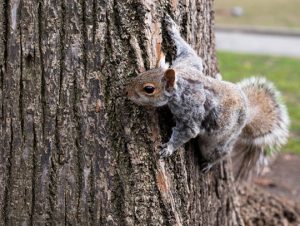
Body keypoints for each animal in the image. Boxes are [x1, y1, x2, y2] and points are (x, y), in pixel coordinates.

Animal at [125, 15, 290, 177]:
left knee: (221, 153)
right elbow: (191, 54)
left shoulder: (191, 110)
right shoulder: (189, 65)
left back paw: (210, 163)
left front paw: (169, 148)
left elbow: (189, 131)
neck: (181, 84)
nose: (127, 93)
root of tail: (248, 114)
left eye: (149, 89)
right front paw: (172, 28)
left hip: (216, 144)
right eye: (144, 73)